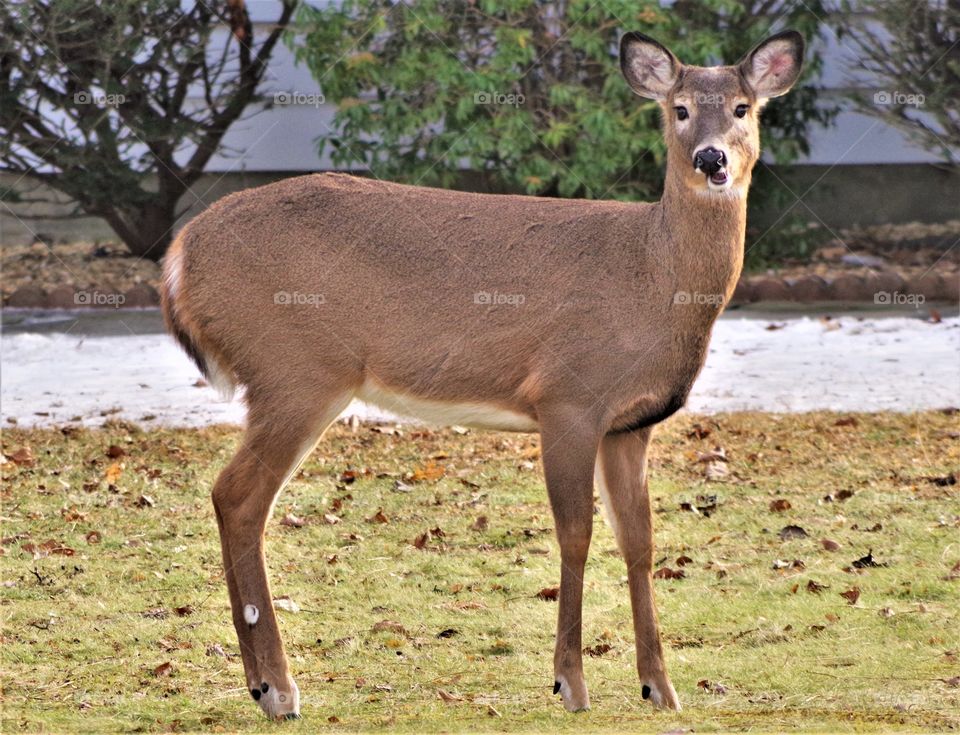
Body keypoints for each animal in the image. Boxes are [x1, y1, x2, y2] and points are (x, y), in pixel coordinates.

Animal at [161, 30, 803, 719]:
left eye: (742, 108)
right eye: (679, 109)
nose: (712, 159)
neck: (656, 276)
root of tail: (180, 253)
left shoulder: (630, 424)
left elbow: (640, 541)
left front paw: (659, 687)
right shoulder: (567, 397)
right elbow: (575, 534)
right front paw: (570, 684)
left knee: (233, 495)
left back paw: (263, 683)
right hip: (296, 371)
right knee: (239, 495)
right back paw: (279, 688)